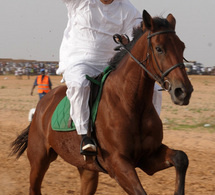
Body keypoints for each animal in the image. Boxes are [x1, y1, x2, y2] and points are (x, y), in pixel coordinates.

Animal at [10, 10, 193, 195]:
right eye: (159, 48)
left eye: (182, 47)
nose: (184, 91)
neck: (131, 105)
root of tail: (42, 104)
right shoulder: (118, 163)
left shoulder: (148, 157)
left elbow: (181, 157)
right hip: (39, 160)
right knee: (34, 186)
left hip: (87, 169)